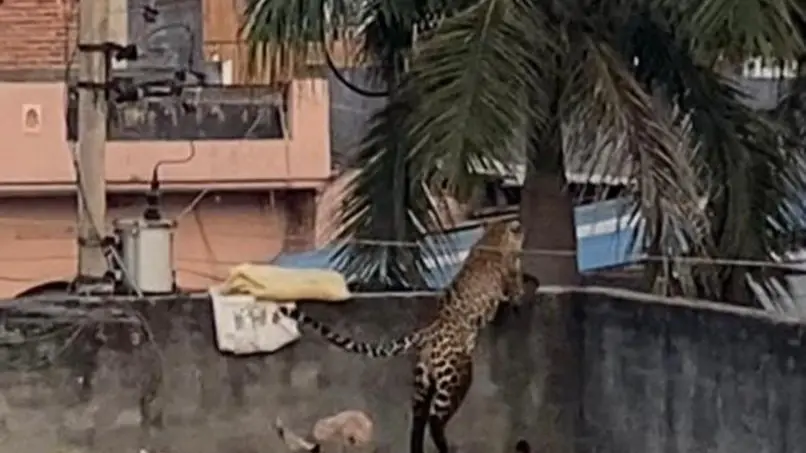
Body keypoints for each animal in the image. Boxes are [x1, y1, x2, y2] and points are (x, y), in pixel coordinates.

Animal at [277, 218, 539, 453]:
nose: (523, 230)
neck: (493, 236)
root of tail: (429, 331)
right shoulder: (511, 277)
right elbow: (518, 288)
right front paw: (530, 285)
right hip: (456, 375)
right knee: (435, 419)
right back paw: (445, 447)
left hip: (424, 381)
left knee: (417, 420)